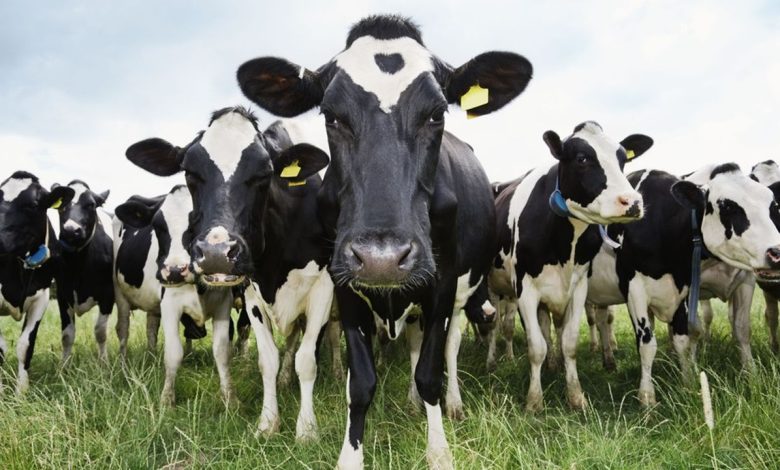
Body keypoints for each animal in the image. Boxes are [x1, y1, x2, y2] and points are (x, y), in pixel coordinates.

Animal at [52, 180, 114, 362]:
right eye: (61, 204)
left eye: (91, 204)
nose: (71, 230)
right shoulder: (62, 293)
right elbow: (67, 335)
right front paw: (64, 365)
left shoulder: (109, 294)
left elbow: (100, 331)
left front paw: (104, 362)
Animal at [124, 107, 334, 442]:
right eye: (190, 172)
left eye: (265, 173)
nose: (216, 253)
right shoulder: (251, 294)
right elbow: (267, 360)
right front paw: (268, 423)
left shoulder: (323, 290)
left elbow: (307, 359)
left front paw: (306, 429)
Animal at [236, 14, 532, 469]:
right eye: (332, 116)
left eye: (436, 114)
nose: (383, 259)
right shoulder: (344, 284)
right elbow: (360, 382)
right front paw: (350, 457)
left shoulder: (442, 284)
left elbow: (429, 372)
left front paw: (439, 451)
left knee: (446, 349)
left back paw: (450, 404)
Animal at [489, 121, 652, 412]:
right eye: (582, 158)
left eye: (623, 159)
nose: (632, 202)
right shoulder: (524, 289)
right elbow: (535, 347)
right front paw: (534, 401)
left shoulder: (577, 288)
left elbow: (569, 342)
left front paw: (576, 396)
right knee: (495, 325)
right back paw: (493, 360)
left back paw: (552, 365)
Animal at [587, 163, 780, 405]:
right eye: (727, 206)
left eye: (773, 205)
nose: (777, 252)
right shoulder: (634, 288)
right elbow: (647, 344)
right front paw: (647, 398)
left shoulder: (697, 288)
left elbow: (705, 335)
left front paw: (690, 383)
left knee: (603, 319)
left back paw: (609, 361)